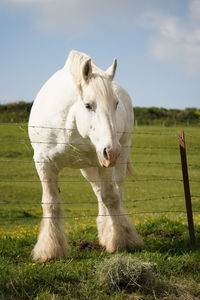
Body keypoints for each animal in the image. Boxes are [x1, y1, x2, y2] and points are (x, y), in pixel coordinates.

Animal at [28, 50, 144, 262]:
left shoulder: (103, 162)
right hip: (89, 167)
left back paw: (117, 231)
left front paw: (121, 241)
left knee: (116, 192)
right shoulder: (44, 164)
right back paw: (106, 231)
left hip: (118, 156)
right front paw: (51, 250)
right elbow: (51, 204)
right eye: (88, 105)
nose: (112, 151)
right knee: (99, 193)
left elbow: (111, 198)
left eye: (116, 104)